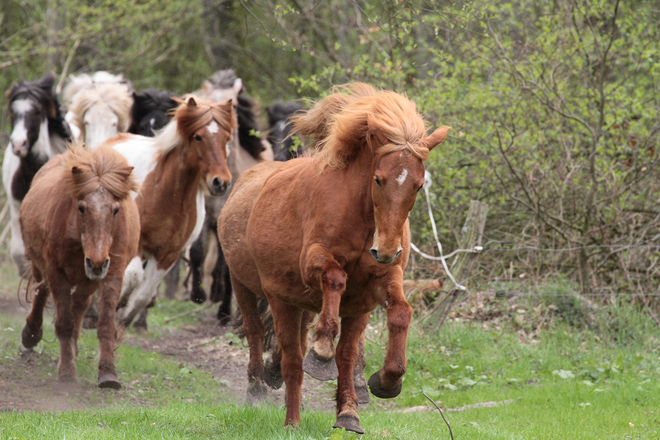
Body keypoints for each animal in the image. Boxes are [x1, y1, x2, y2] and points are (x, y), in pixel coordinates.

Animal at [21, 145, 139, 388]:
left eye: (116, 210)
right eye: (82, 207)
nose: (96, 262)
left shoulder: (112, 274)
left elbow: (105, 324)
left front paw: (108, 373)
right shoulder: (56, 272)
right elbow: (64, 322)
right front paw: (67, 372)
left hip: (89, 280)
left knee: (78, 304)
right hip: (41, 265)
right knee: (41, 293)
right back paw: (31, 333)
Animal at [103, 97, 235, 330]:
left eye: (226, 137)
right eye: (198, 136)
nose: (221, 182)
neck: (168, 195)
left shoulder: (168, 254)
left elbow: (143, 295)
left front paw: (126, 319)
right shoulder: (137, 243)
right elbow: (133, 277)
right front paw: (120, 304)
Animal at [219, 83, 452, 434]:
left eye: (419, 184)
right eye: (378, 179)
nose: (386, 251)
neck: (360, 216)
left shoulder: (374, 289)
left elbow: (394, 319)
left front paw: (366, 399)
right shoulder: (314, 263)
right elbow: (335, 278)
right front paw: (322, 350)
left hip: (297, 301)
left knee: (293, 349)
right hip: (250, 288)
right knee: (266, 339)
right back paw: (276, 405)